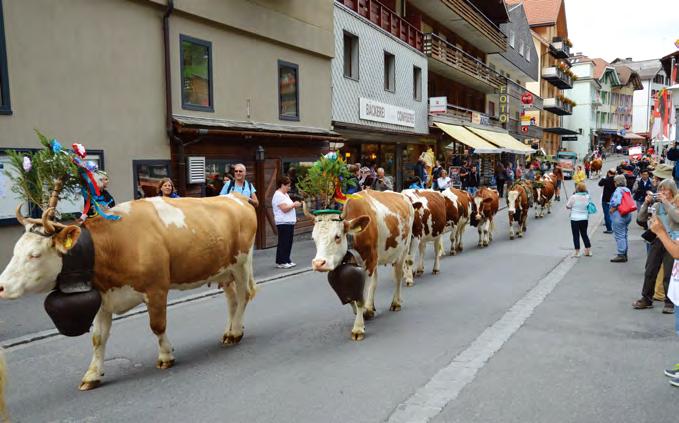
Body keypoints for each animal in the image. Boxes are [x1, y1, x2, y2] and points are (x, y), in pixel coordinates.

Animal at [0, 195, 258, 390]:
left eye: (35, 255)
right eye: (15, 250)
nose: (1, 286)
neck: (115, 244)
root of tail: (235, 196)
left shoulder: (156, 289)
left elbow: (157, 325)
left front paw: (165, 356)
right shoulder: (104, 297)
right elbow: (97, 338)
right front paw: (92, 374)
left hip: (242, 263)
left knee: (244, 295)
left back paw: (236, 332)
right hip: (224, 270)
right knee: (232, 300)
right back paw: (229, 332)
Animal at [310, 190, 414, 342]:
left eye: (337, 236)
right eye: (313, 238)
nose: (318, 263)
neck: (353, 237)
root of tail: (401, 195)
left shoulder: (369, 262)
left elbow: (360, 299)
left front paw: (358, 328)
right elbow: (350, 297)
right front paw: (364, 311)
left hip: (403, 250)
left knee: (397, 277)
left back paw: (396, 302)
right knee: (375, 282)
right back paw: (370, 307)